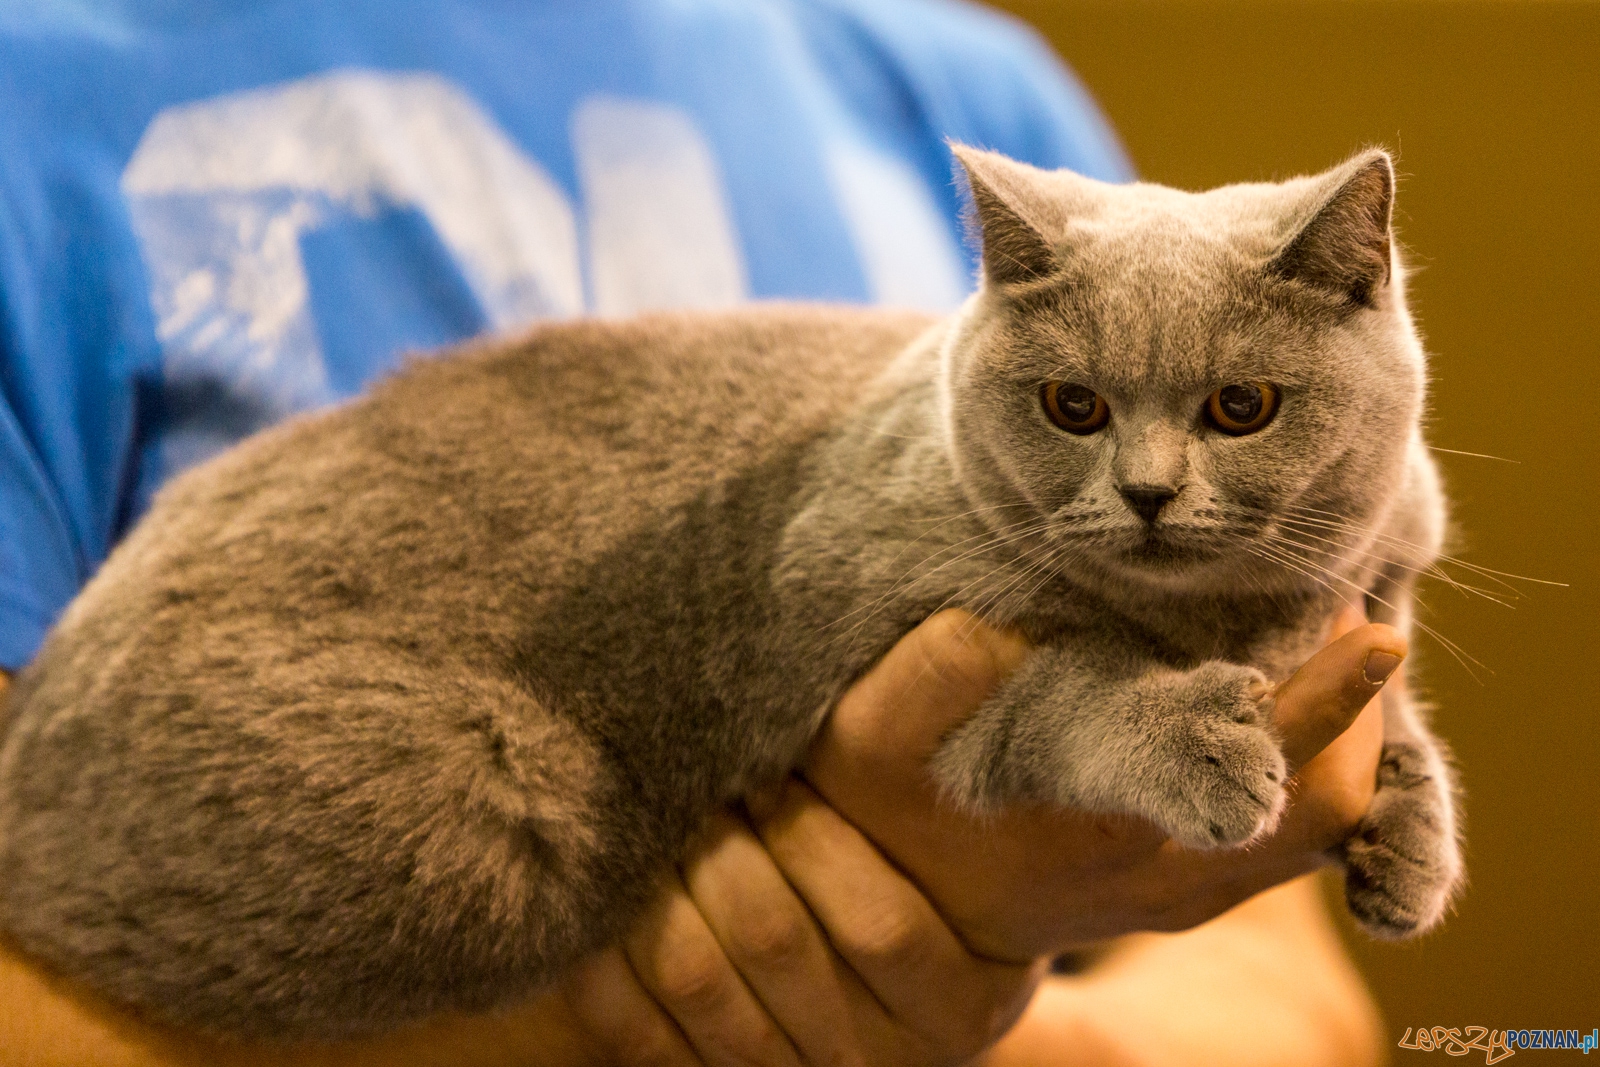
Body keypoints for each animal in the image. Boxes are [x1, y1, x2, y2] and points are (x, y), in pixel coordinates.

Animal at [0, 146, 1465, 1036]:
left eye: (1241, 406)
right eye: (1073, 405)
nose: (1152, 491)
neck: (1227, 618)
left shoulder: (1376, 590)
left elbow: (1397, 708)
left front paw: (1411, 843)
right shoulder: (890, 641)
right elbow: (1069, 690)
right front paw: (1198, 737)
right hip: (497, 817)